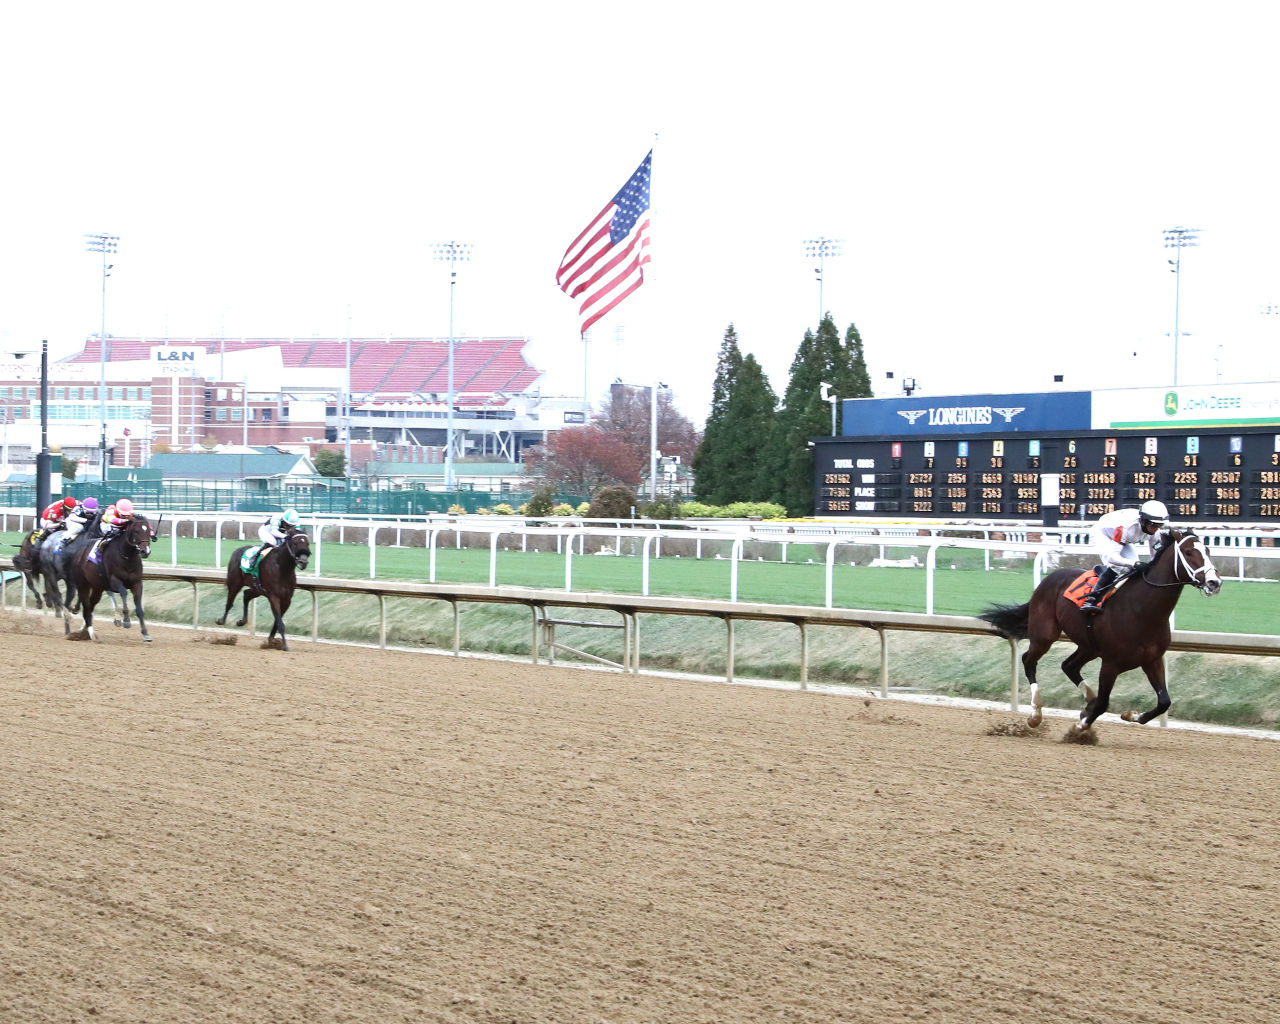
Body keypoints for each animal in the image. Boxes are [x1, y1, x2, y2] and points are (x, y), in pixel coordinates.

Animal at [71, 517, 156, 645]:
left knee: (90, 606)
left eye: (148, 531)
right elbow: (124, 593)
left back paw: (84, 631)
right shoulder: (115, 581)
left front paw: (146, 634)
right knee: (86, 607)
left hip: (97, 588)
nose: (145, 551)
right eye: (136, 531)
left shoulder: (137, 583)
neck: (127, 557)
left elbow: (139, 609)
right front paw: (126, 621)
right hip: (83, 584)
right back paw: (91, 634)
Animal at [983, 532, 1223, 732]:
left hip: (1089, 645)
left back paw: (1087, 700)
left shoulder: (1152, 659)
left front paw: (1131, 715)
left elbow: (1164, 701)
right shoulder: (1111, 663)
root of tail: (1048, 579)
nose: (1214, 582)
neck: (1143, 610)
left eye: (1208, 550)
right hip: (1045, 635)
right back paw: (1036, 714)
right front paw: (1080, 728)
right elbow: (1104, 703)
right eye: (1189, 552)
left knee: (1068, 666)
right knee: (1029, 661)